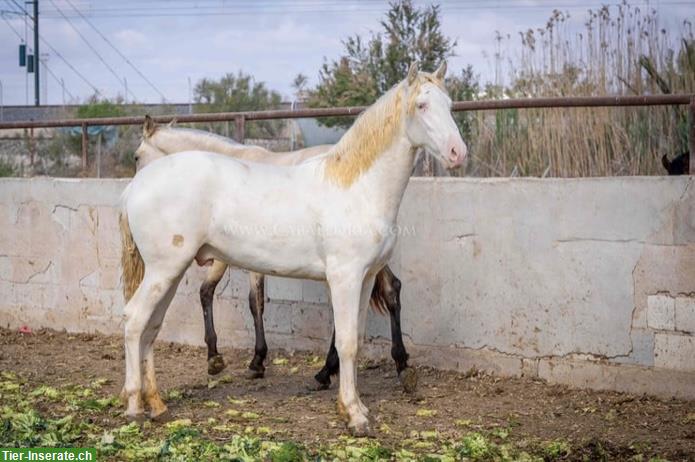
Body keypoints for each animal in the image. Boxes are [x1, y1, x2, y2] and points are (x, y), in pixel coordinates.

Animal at [119, 62, 468, 436]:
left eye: (450, 105)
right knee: (135, 320)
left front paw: (355, 406)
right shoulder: (344, 277)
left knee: (151, 326)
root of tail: (136, 187)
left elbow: (355, 339)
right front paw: (354, 415)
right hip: (164, 270)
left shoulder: (364, 278)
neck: (356, 187)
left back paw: (157, 406)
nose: (457, 153)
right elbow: (346, 341)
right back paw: (134, 406)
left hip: (170, 271)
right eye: (422, 105)